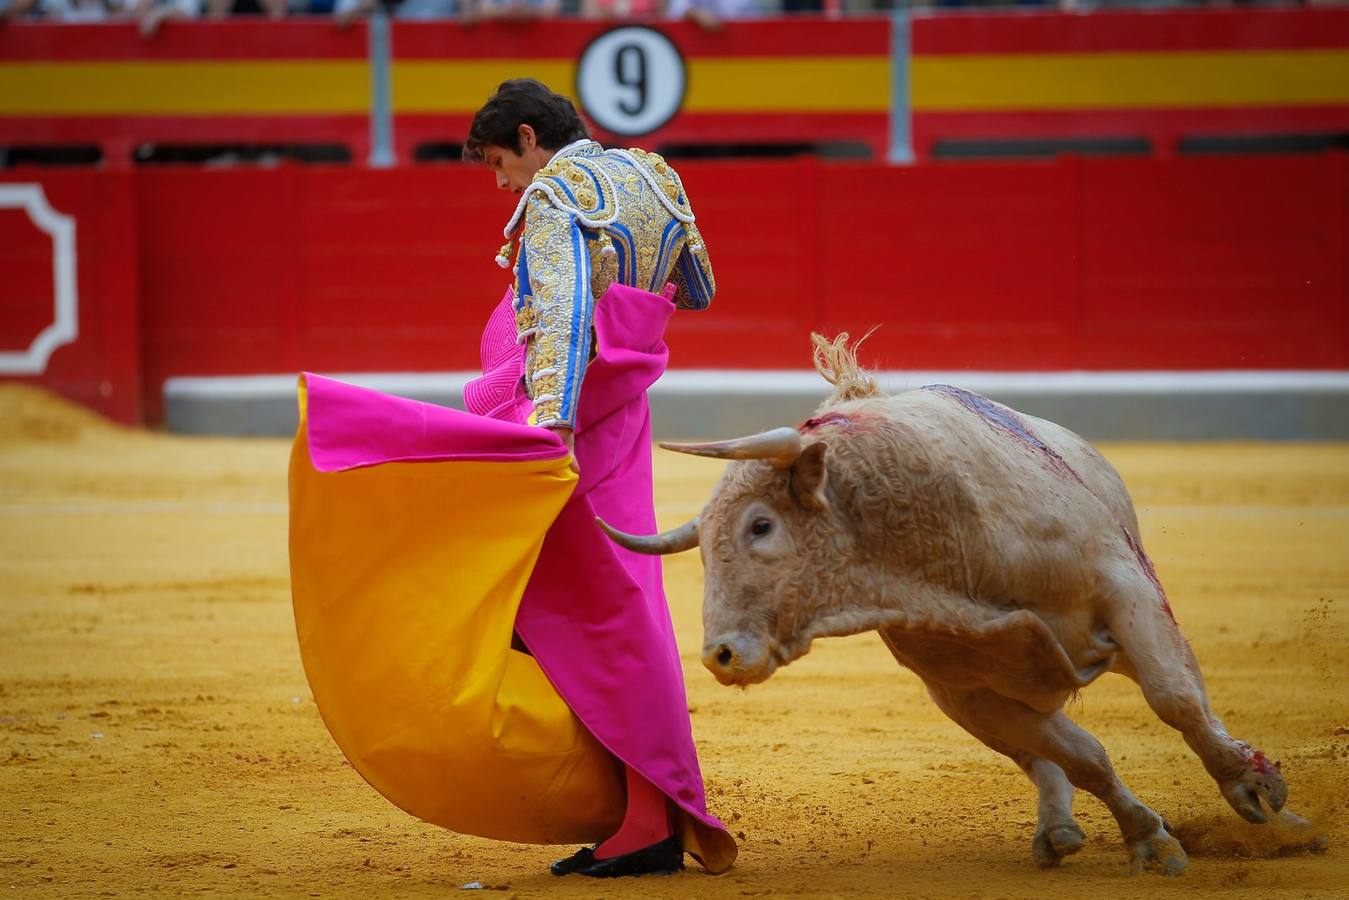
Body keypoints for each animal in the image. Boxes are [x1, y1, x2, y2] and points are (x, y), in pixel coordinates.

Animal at [601, 334, 1295, 874]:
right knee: (1040, 756)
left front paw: (1251, 786)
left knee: (1176, 693)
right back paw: (1055, 829)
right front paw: (1149, 840)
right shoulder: (970, 691)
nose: (720, 654)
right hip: (973, 702)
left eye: (761, 526)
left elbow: (1174, 698)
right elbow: (1084, 759)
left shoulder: (1122, 585)